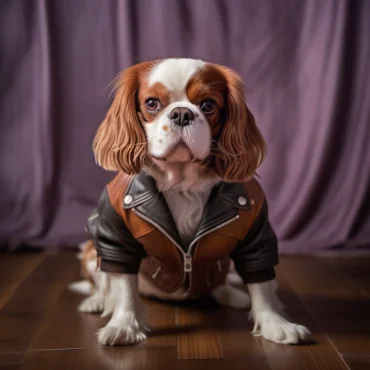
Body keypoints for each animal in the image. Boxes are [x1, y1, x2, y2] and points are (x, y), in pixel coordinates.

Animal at [76, 58, 310, 346]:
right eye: (151, 103)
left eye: (208, 105)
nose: (181, 114)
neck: (181, 182)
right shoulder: (116, 238)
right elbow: (123, 286)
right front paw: (123, 325)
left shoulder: (256, 235)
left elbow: (261, 284)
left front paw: (274, 323)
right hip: (91, 249)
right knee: (102, 281)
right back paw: (97, 301)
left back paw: (231, 294)